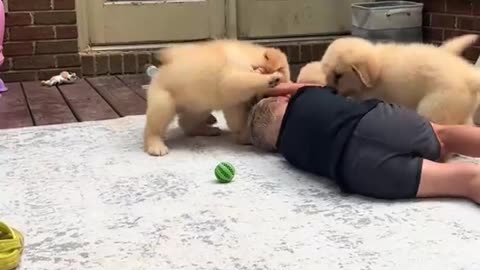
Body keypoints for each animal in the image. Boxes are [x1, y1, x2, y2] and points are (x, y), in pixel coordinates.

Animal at [144, 38, 290, 156]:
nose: (288, 89)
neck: (250, 58)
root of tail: (159, 72)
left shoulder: (235, 103)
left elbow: (238, 121)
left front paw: (244, 137)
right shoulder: (232, 77)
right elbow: (249, 79)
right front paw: (271, 78)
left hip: (199, 107)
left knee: (187, 124)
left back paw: (206, 130)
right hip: (164, 103)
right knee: (154, 128)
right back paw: (156, 146)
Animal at [312, 34, 480, 125]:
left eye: (338, 75)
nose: (330, 90)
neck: (377, 71)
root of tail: (468, 77)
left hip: (434, 109)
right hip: (460, 113)